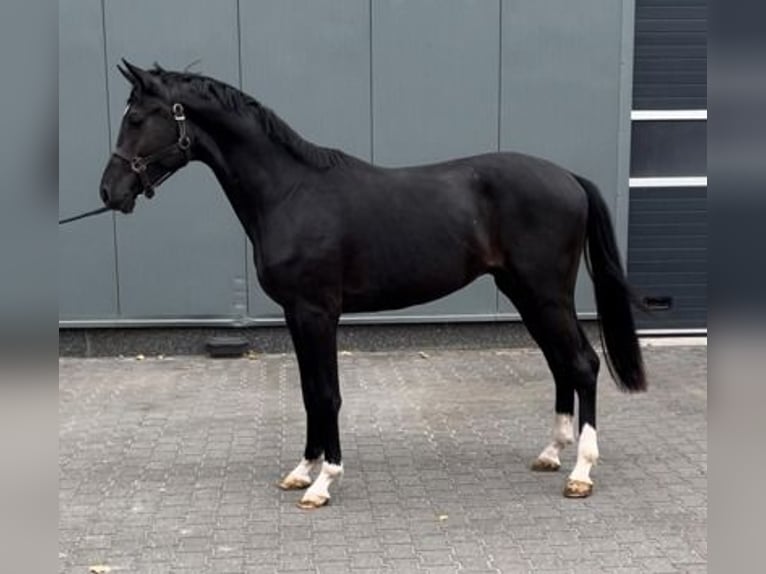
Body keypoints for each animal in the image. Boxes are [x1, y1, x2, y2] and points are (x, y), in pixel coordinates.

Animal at [99, 62, 644, 508]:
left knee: (583, 364)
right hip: (526, 295)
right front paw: (302, 470)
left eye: (137, 118)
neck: (290, 192)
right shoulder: (296, 315)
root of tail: (569, 178)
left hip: (546, 294)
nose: (109, 191)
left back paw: (580, 472)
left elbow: (327, 394)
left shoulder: (318, 313)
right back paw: (551, 453)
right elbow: (307, 392)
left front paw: (324, 481)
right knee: (560, 364)